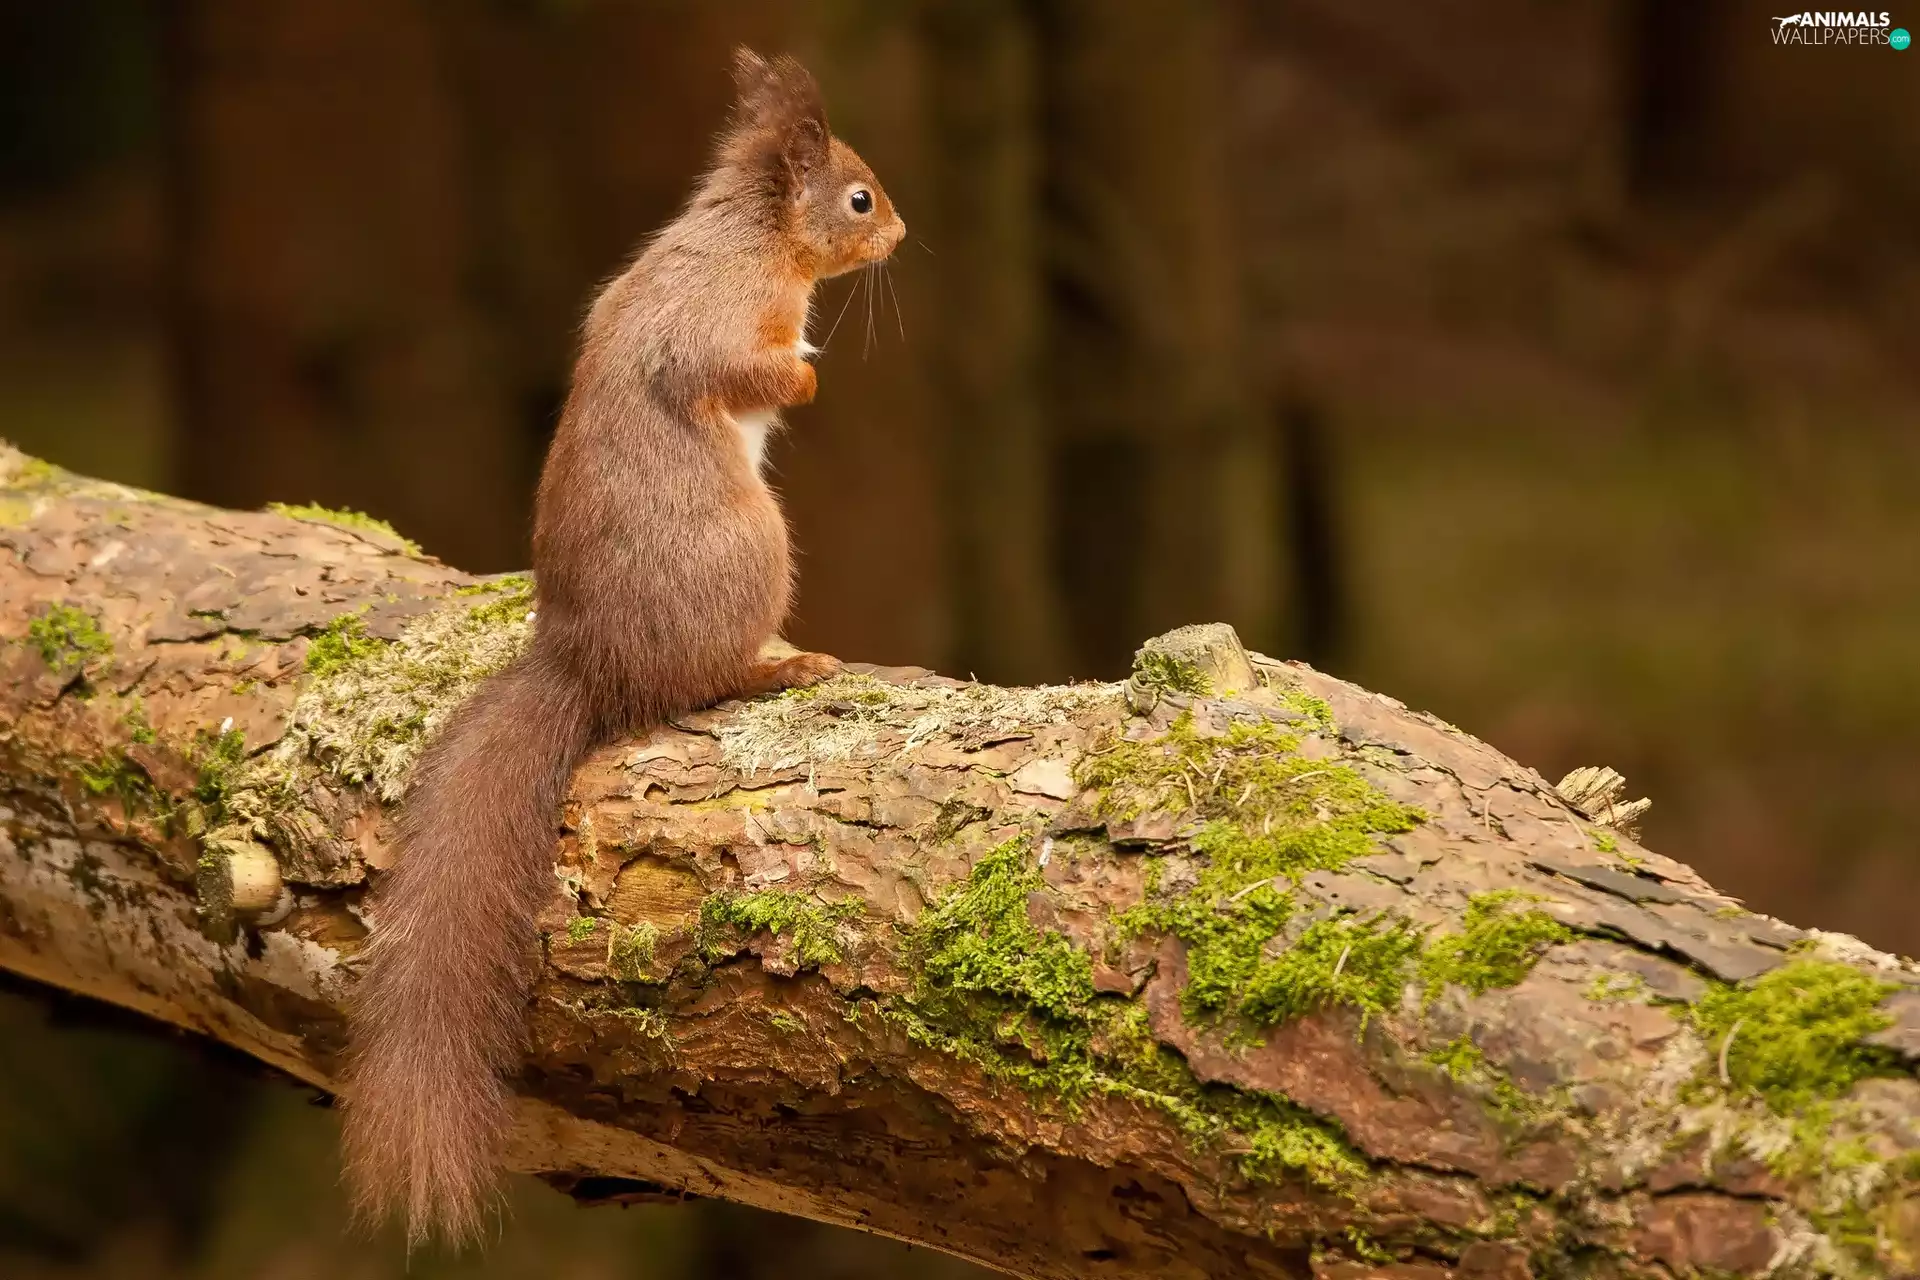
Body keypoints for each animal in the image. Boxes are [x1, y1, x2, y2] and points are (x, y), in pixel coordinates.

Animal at [341, 49, 905, 1247]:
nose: (901, 233)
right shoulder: (720, 322)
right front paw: (807, 374)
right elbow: (740, 369)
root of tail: (588, 664)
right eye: (858, 199)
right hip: (754, 549)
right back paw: (782, 662)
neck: (751, 233)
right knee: (709, 680)